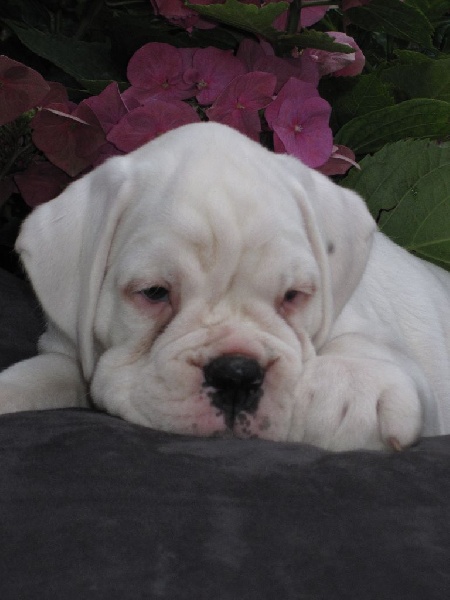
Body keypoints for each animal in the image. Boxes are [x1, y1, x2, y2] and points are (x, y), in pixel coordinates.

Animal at [0, 122, 449, 451]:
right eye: (154, 293)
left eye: (293, 296)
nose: (237, 374)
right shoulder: (65, 350)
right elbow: (41, 375)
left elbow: (362, 345)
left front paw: (355, 385)